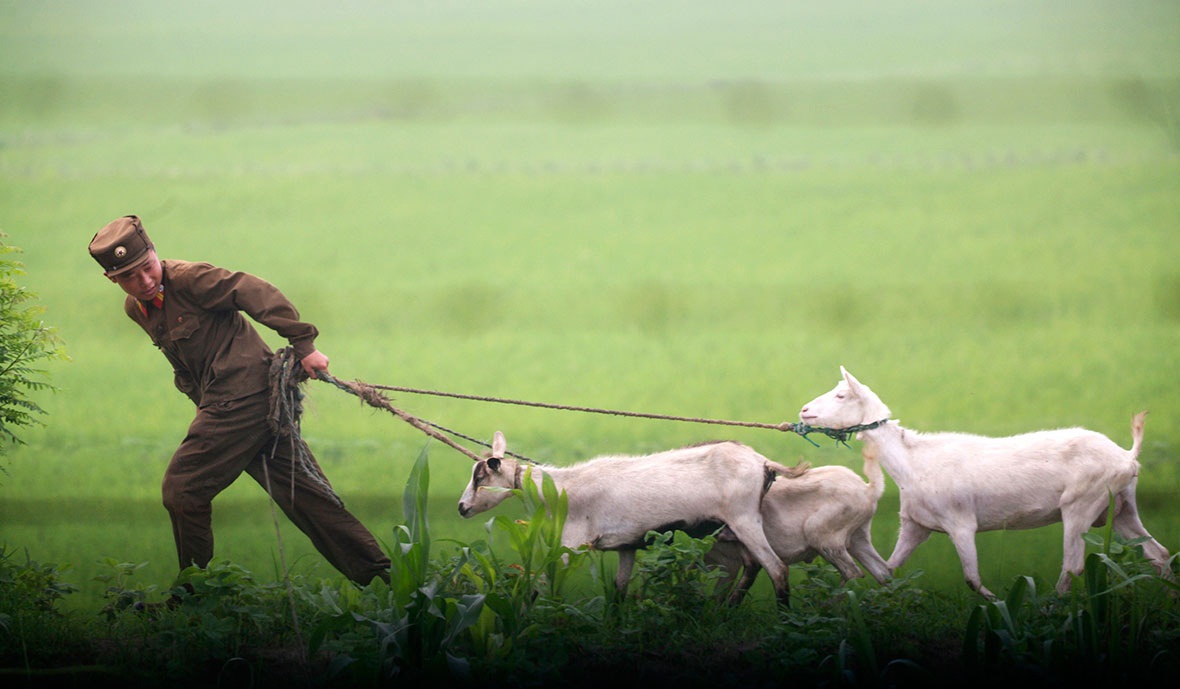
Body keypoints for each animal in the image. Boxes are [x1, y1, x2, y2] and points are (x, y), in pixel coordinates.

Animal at [457, 431, 807, 605]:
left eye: (479, 478)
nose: (461, 507)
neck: (563, 488)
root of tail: (762, 462)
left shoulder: (571, 545)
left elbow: (541, 584)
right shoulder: (628, 545)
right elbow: (618, 591)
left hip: (744, 518)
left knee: (777, 569)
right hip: (735, 526)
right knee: (751, 566)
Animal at [706, 460, 891, 602]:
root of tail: (869, 489)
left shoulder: (731, 562)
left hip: (822, 536)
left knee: (853, 573)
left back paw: (826, 609)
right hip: (858, 539)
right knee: (883, 572)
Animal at [798, 366, 1172, 598]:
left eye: (841, 396)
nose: (804, 411)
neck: (912, 463)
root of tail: (1127, 456)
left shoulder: (961, 521)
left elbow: (971, 578)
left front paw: (996, 602)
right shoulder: (916, 524)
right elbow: (888, 570)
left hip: (1082, 502)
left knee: (1073, 565)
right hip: (1120, 506)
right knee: (1158, 552)